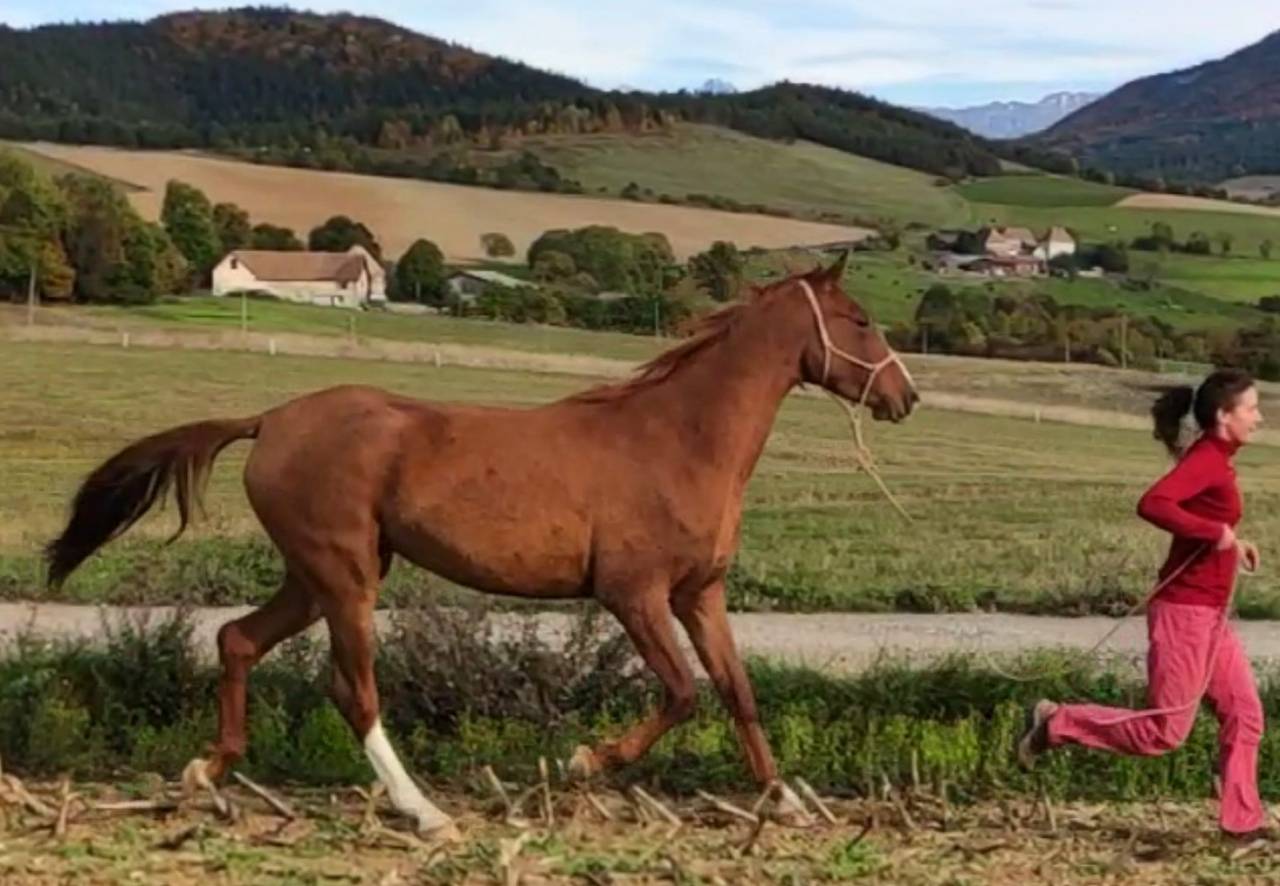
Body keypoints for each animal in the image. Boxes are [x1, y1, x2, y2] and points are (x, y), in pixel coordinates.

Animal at [44, 253, 917, 838]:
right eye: (862, 321)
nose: (905, 395)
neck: (679, 438)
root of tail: (271, 420)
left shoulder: (699, 594)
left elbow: (737, 692)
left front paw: (786, 800)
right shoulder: (632, 594)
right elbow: (682, 694)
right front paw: (581, 762)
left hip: (313, 575)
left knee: (235, 640)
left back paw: (208, 771)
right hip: (345, 577)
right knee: (353, 690)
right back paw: (424, 811)